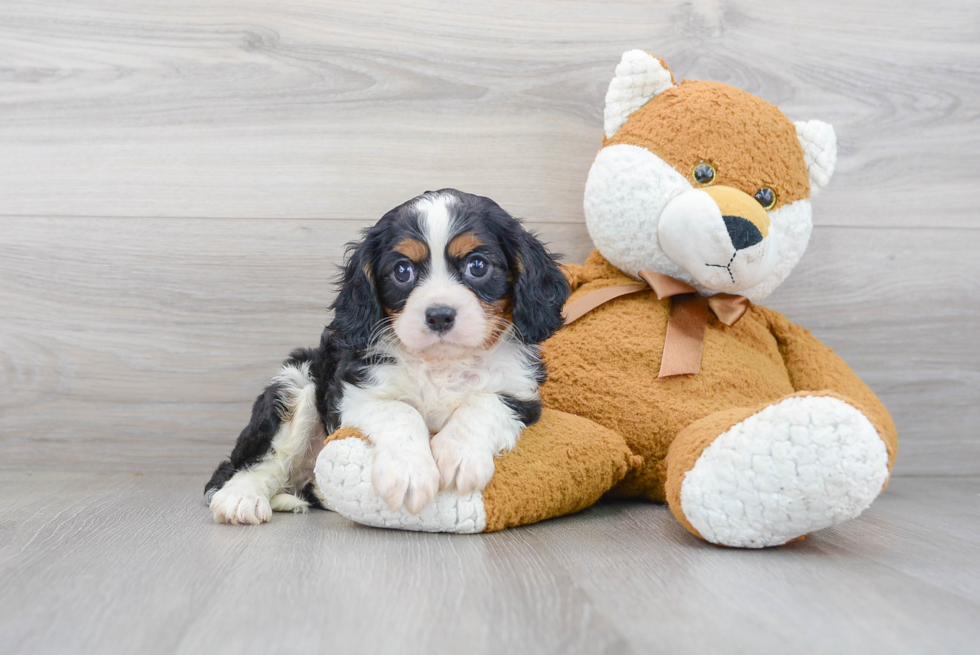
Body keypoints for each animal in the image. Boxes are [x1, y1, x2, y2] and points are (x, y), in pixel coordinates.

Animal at [209, 188, 576, 524]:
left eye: (478, 266)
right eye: (402, 271)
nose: (439, 315)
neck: (441, 363)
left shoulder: (520, 394)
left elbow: (483, 403)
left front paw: (459, 456)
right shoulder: (355, 393)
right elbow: (401, 412)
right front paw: (410, 473)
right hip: (296, 383)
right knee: (249, 464)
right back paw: (241, 498)